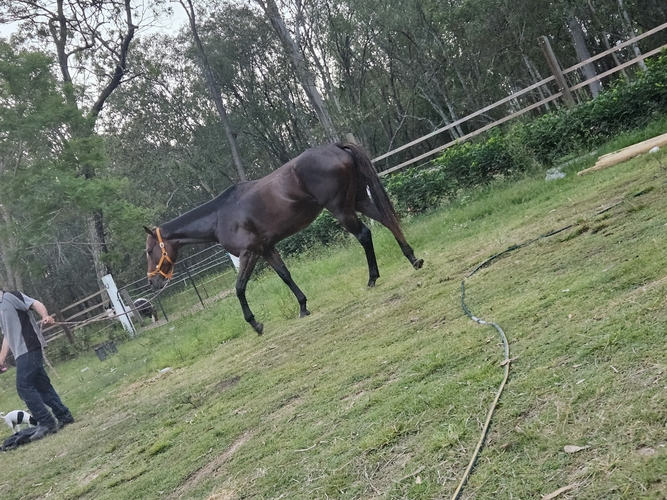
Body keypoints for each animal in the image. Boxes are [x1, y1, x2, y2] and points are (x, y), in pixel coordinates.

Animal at [145, 142, 423, 334]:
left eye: (149, 251)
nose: (153, 282)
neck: (220, 215)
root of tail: (335, 147)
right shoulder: (267, 250)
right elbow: (286, 276)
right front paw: (303, 306)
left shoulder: (249, 253)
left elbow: (239, 288)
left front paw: (255, 324)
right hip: (359, 200)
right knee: (388, 221)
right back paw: (413, 259)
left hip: (342, 210)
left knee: (365, 235)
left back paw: (372, 278)